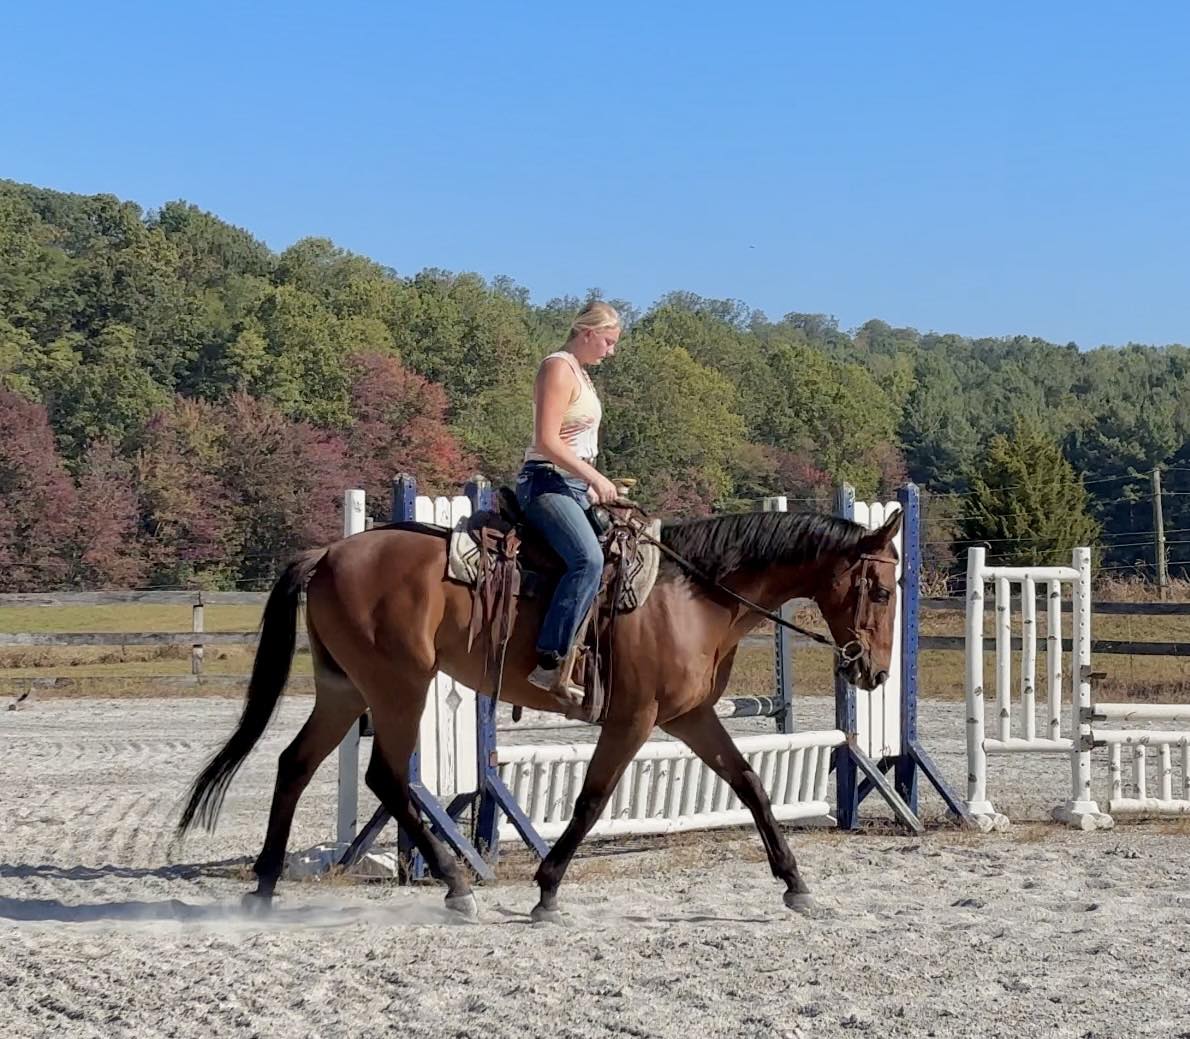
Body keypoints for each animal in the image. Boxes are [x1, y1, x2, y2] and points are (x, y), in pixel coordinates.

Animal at [175, 505, 903, 920]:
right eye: (880, 587)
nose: (872, 671)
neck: (694, 596)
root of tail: (327, 552)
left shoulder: (690, 715)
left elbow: (750, 783)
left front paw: (796, 883)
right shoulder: (634, 719)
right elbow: (592, 798)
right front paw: (548, 887)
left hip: (345, 689)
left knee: (294, 764)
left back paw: (265, 885)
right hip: (399, 686)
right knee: (387, 777)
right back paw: (455, 886)